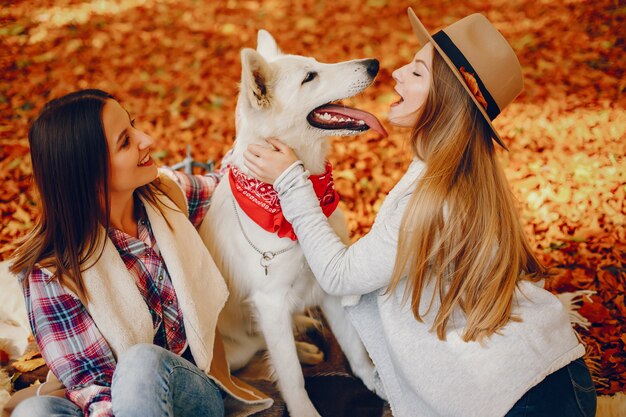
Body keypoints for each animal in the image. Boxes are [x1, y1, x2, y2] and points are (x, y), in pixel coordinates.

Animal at [204, 30, 386, 416]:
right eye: (309, 77)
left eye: (317, 64)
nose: (374, 64)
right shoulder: (270, 304)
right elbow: (290, 376)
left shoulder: (330, 286)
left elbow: (354, 348)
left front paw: (375, 383)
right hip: (239, 348)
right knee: (257, 357)